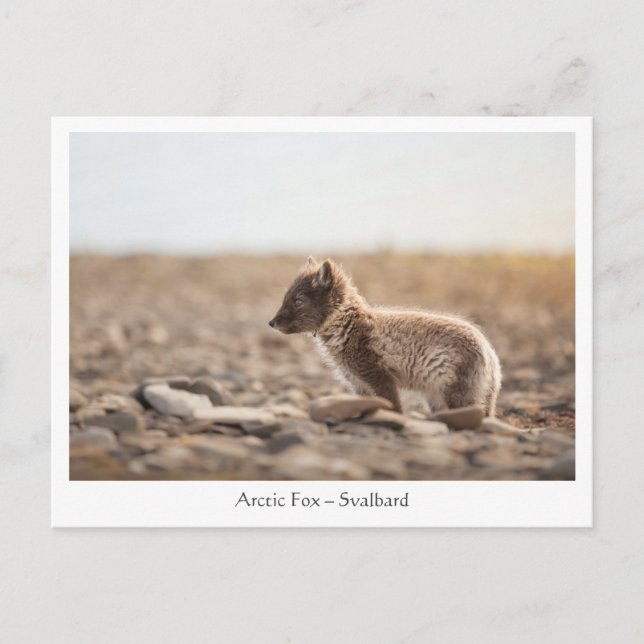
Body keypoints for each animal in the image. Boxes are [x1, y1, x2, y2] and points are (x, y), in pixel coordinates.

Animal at [268, 257, 502, 416]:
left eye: (298, 300)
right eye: (285, 297)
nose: (271, 323)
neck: (347, 325)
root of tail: (490, 354)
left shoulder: (379, 377)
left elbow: (393, 407)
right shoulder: (358, 383)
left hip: (457, 397)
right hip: (439, 399)